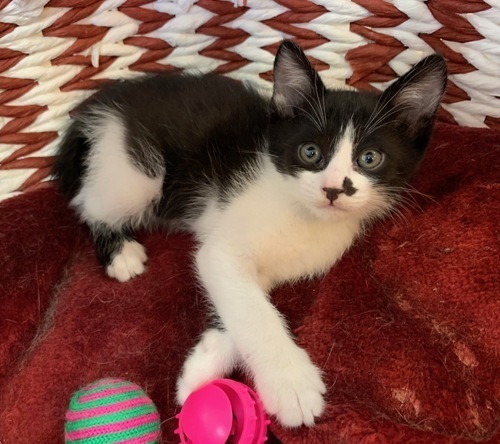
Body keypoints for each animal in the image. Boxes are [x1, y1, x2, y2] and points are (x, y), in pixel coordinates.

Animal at [53, 40, 447, 427]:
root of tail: (99, 106)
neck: (303, 215)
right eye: (310, 152)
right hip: (136, 174)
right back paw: (120, 253)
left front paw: (201, 367)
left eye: (370, 158)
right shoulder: (222, 248)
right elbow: (252, 310)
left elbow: (240, 303)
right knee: (86, 203)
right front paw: (292, 386)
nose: (333, 190)